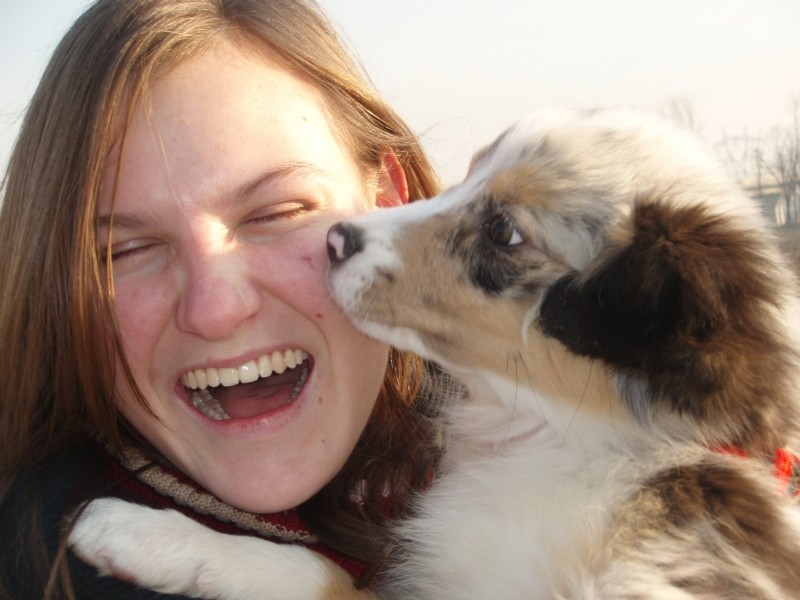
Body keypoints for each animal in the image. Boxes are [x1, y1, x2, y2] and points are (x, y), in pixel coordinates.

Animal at [70, 109, 800, 600]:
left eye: (502, 230)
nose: (333, 240)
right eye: (465, 178)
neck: (551, 440)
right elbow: (318, 570)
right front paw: (145, 535)